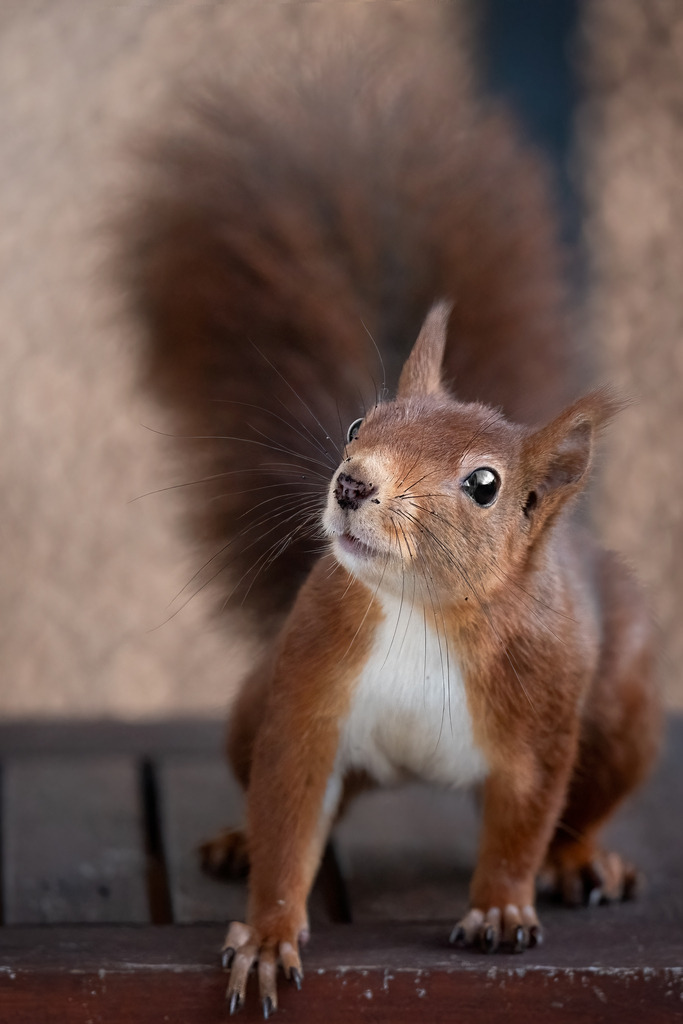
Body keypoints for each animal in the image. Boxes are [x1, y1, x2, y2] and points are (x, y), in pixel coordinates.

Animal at [125, 7, 660, 1017]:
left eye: (483, 485)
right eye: (355, 422)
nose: (351, 483)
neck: (420, 612)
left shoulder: (540, 713)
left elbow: (523, 817)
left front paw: (500, 909)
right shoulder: (305, 698)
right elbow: (291, 811)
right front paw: (267, 930)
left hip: (621, 713)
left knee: (576, 807)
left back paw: (580, 861)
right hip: (253, 703)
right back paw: (236, 841)